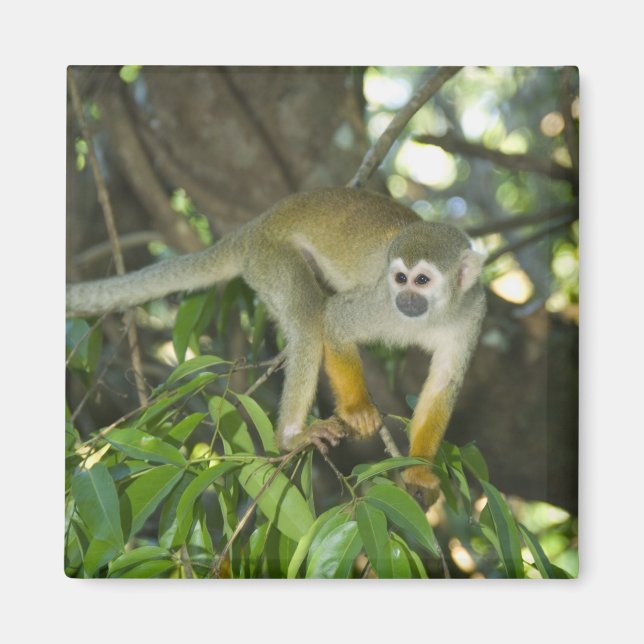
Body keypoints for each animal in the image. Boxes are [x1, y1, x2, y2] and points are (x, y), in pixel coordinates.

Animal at [67, 187, 486, 506]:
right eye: (400, 278)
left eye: (422, 280)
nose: (406, 299)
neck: (431, 314)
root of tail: (255, 226)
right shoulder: (381, 301)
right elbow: (334, 321)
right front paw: (357, 410)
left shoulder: (472, 313)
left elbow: (444, 384)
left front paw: (418, 470)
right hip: (270, 258)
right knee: (308, 319)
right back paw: (290, 436)